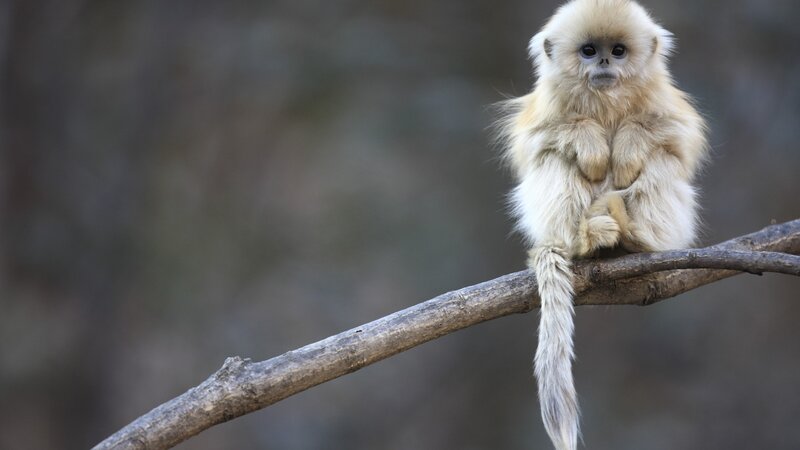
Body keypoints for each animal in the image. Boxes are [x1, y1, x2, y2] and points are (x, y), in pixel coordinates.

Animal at [496, 1, 707, 449]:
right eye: (590, 50)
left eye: (619, 51)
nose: (606, 62)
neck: (606, 99)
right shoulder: (547, 107)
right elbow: (537, 141)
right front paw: (591, 144)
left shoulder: (664, 100)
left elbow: (677, 137)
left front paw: (626, 147)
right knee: (554, 158)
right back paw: (587, 239)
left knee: (661, 159)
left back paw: (635, 237)